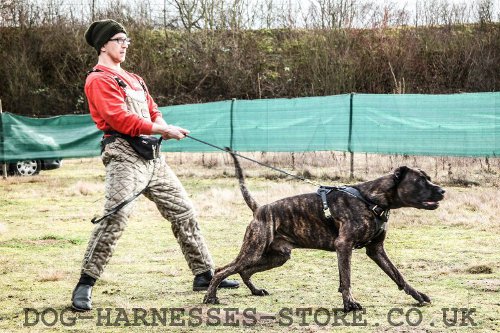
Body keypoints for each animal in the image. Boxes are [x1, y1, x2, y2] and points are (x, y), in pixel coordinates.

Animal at [203, 152, 446, 310]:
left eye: (428, 178)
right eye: (420, 180)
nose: (442, 190)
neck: (371, 200)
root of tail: (260, 209)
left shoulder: (376, 250)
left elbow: (398, 275)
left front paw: (418, 296)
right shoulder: (344, 246)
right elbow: (346, 278)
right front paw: (349, 303)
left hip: (277, 256)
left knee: (244, 271)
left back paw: (254, 291)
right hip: (254, 251)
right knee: (224, 270)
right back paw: (210, 297)